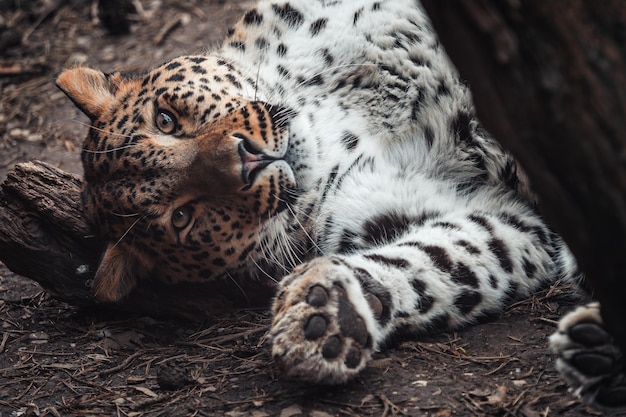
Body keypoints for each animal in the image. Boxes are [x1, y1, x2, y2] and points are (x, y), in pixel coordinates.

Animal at [56, 0, 576, 384]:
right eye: (182, 217)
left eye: (165, 120)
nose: (247, 160)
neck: (339, 119)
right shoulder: (504, 216)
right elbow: (447, 260)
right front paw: (331, 315)